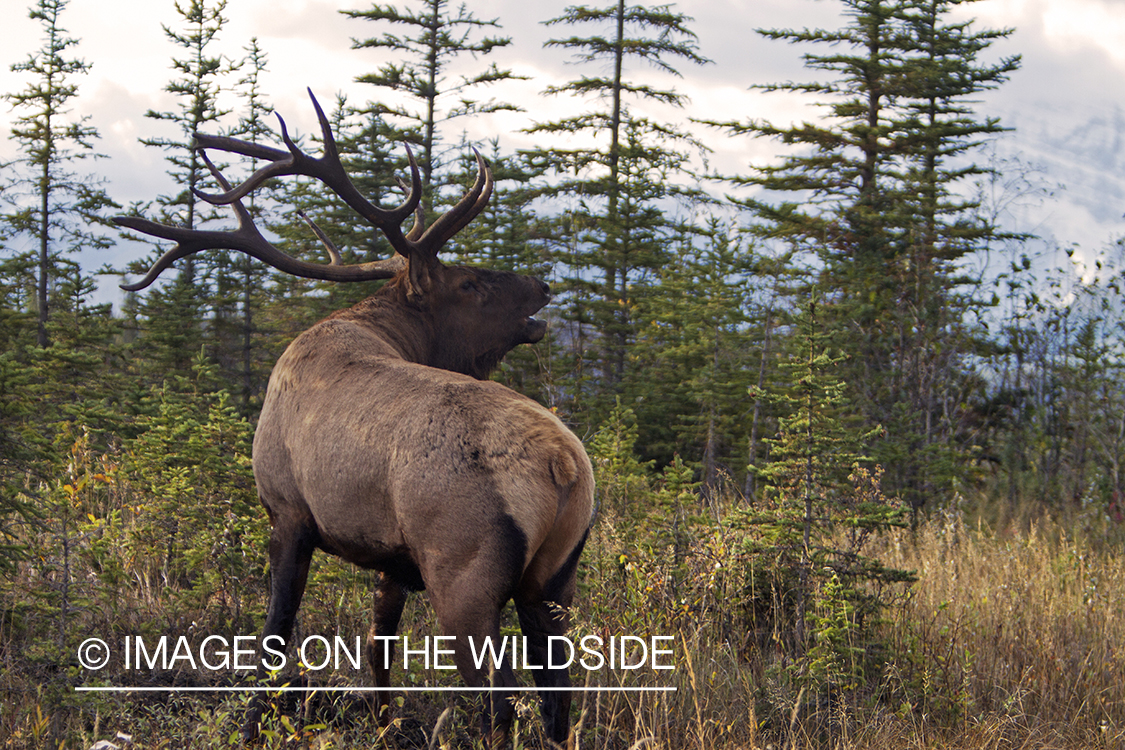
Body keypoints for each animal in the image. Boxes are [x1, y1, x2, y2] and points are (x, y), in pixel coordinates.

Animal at [115, 90, 594, 748]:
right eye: (470, 282)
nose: (542, 286)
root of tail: (564, 466)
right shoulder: (392, 557)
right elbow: (377, 648)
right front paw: (382, 724)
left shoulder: (289, 511)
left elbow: (275, 632)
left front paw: (252, 724)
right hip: (553, 581)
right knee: (557, 699)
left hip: (463, 573)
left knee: (499, 700)